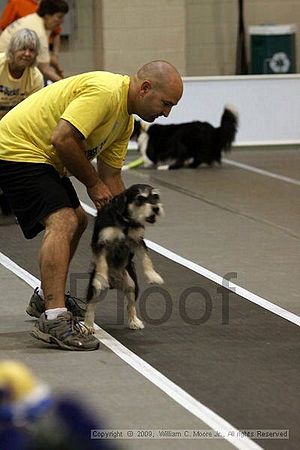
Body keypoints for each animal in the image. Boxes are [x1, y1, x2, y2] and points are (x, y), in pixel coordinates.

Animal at [84, 184, 164, 334]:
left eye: (156, 196)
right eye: (140, 198)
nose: (156, 208)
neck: (125, 222)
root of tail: (114, 284)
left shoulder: (138, 241)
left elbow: (146, 259)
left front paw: (153, 276)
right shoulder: (101, 243)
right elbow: (102, 263)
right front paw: (102, 277)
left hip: (132, 285)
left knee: (130, 305)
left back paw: (134, 321)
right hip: (94, 290)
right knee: (90, 306)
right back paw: (88, 326)